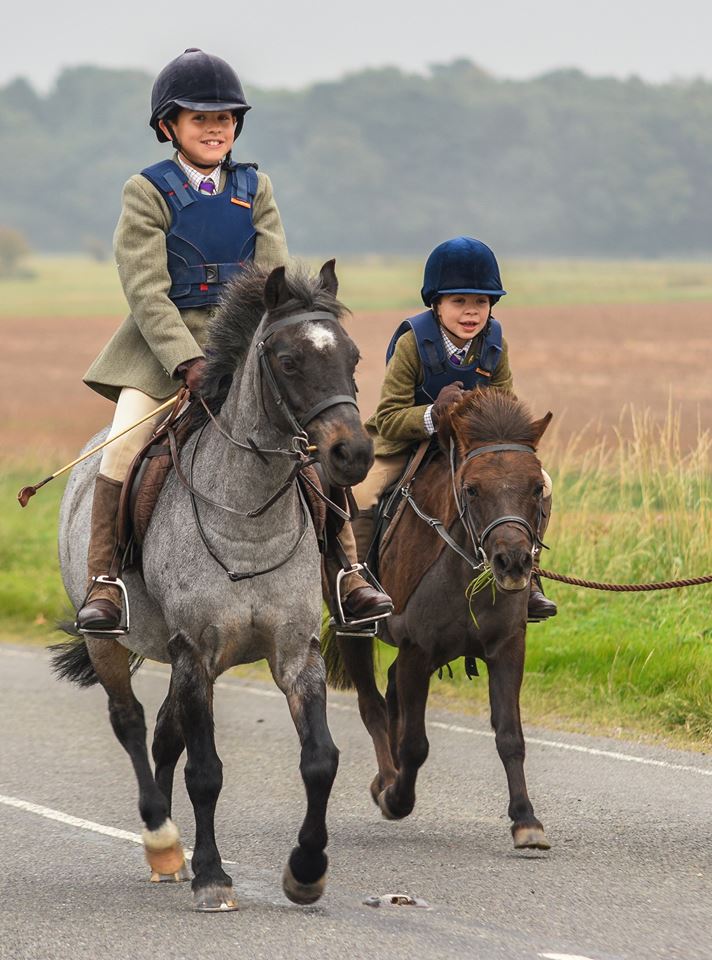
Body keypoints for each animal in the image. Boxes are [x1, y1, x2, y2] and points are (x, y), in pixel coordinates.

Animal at [54, 258, 372, 912]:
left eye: (351, 356)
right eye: (288, 361)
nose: (351, 453)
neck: (247, 515)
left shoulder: (293, 653)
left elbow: (320, 760)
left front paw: (306, 870)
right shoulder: (195, 651)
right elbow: (206, 772)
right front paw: (212, 875)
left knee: (163, 734)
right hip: (112, 642)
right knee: (129, 722)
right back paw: (163, 841)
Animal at [322, 386, 552, 852]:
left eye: (537, 487)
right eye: (472, 489)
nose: (513, 563)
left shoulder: (507, 649)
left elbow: (510, 736)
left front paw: (525, 820)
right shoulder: (419, 649)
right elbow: (415, 744)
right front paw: (397, 798)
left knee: (391, 690)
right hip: (353, 633)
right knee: (372, 704)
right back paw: (386, 781)